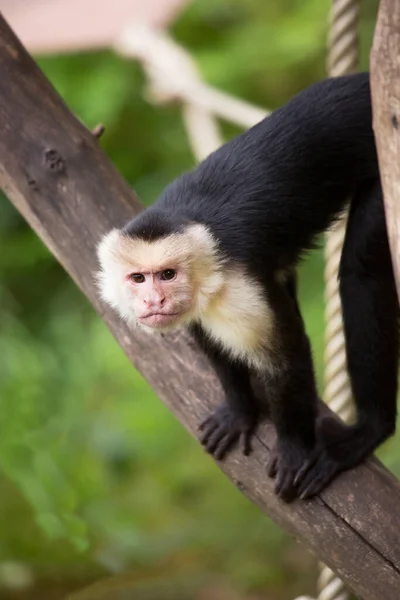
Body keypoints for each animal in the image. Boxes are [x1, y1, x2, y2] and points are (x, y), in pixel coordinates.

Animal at [95, 71, 398, 502]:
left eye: (167, 274)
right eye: (138, 279)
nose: (154, 299)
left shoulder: (238, 287)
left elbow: (286, 357)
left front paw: (294, 446)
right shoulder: (202, 303)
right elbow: (213, 343)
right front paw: (239, 411)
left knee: (362, 270)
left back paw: (371, 429)